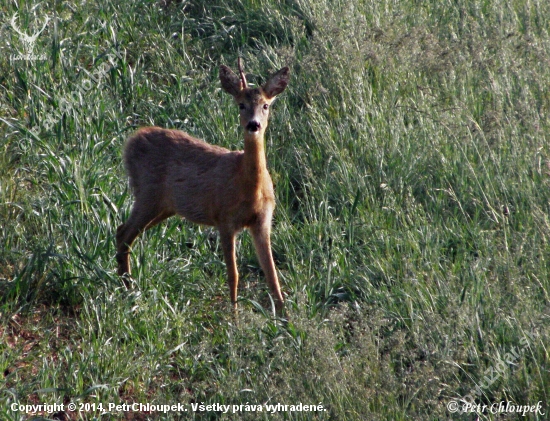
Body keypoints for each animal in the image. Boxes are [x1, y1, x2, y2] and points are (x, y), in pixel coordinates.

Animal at [115, 60, 288, 314]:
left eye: (265, 105)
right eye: (241, 105)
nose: (253, 125)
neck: (250, 189)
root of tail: (131, 141)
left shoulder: (262, 221)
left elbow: (272, 276)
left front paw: (286, 318)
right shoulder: (224, 219)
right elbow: (233, 275)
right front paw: (234, 316)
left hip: (165, 207)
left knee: (123, 233)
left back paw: (125, 287)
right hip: (147, 194)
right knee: (124, 233)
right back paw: (127, 290)